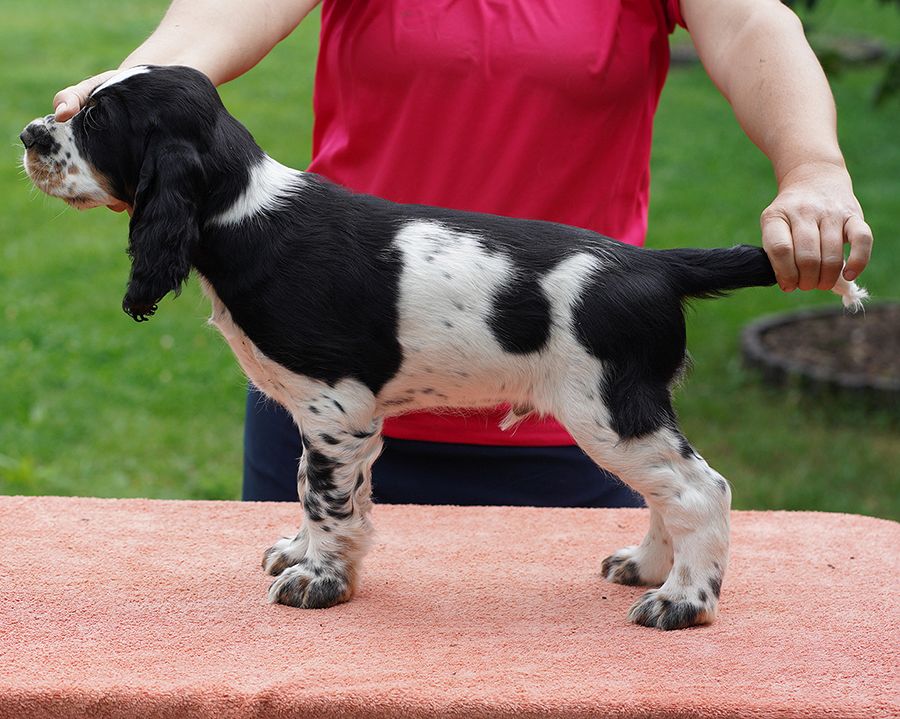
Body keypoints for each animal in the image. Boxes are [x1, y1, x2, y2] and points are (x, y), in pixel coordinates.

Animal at [19, 66, 864, 632]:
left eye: (97, 122)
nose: (29, 134)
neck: (243, 210)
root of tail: (657, 264)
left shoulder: (336, 405)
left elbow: (325, 495)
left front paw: (320, 579)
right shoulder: (332, 417)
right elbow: (319, 489)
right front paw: (305, 554)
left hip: (607, 407)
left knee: (700, 488)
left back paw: (682, 599)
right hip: (630, 411)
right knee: (669, 488)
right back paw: (646, 566)